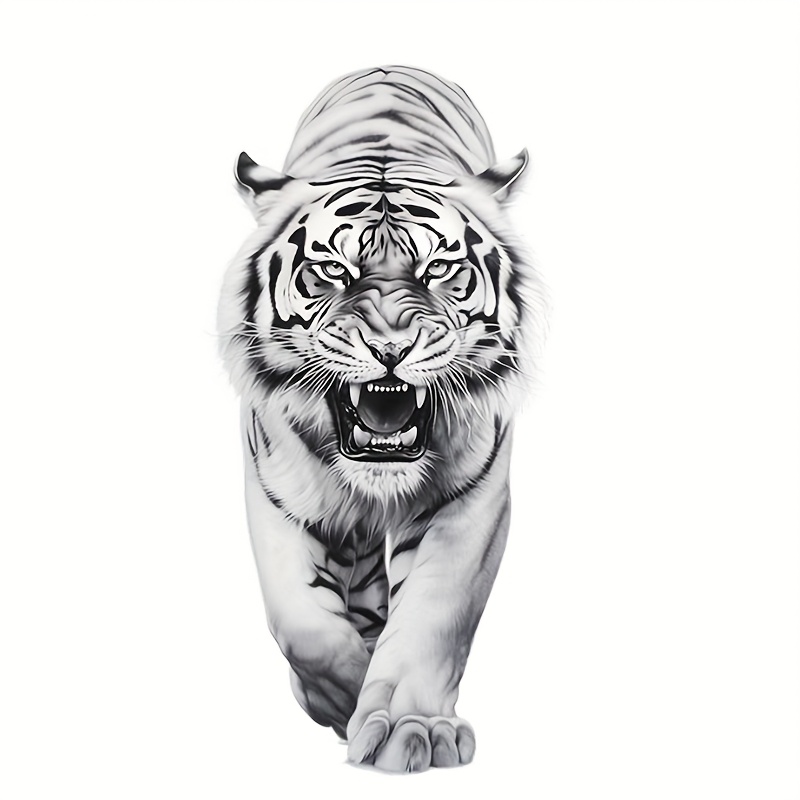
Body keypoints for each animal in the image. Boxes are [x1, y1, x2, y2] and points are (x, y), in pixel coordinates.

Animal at [218, 65, 547, 772]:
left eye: (440, 268)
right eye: (330, 270)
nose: (390, 346)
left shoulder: (472, 501)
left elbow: (433, 617)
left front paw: (408, 728)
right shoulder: (276, 491)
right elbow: (303, 623)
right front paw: (343, 697)